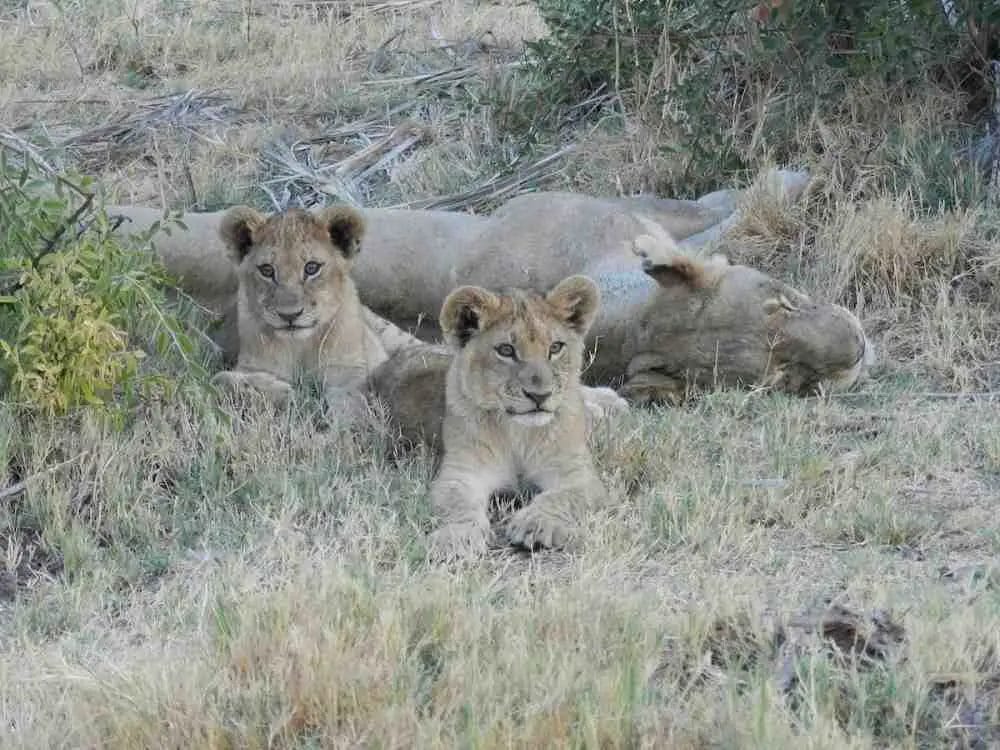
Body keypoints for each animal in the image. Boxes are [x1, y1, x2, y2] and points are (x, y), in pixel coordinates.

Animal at [418, 275, 611, 560]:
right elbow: (457, 503)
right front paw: (458, 536)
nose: (539, 395)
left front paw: (538, 524)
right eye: (506, 350)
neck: (519, 432)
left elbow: (561, 497)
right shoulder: (461, 472)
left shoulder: (578, 474)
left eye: (555, 347)